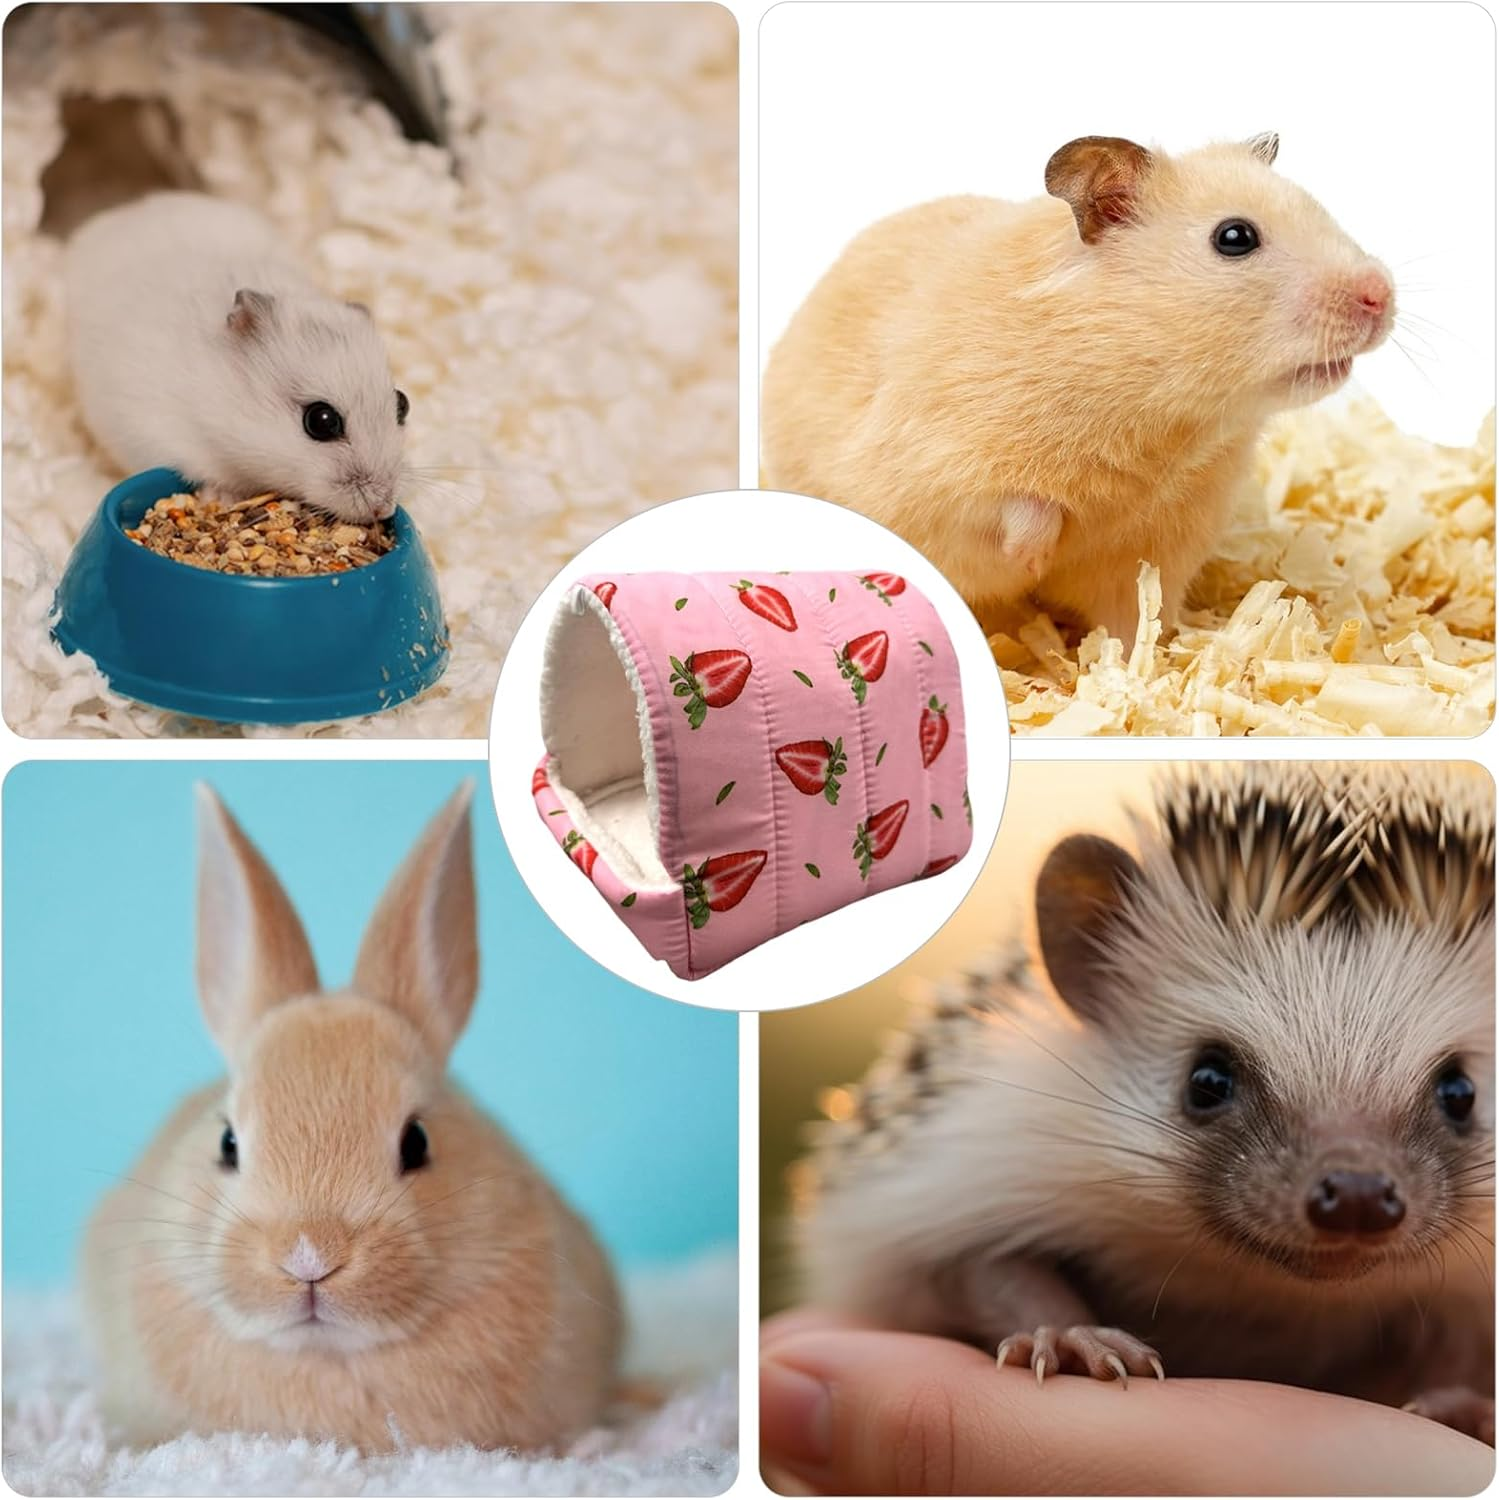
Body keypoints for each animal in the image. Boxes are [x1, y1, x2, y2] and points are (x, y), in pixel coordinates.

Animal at [65, 192, 409, 523]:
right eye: (321, 421)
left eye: (402, 403)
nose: (383, 509)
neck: (225, 399)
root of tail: (124, 210)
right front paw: (222, 498)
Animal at [761, 136, 1395, 646]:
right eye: (1234, 237)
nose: (1381, 295)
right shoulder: (942, 468)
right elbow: (1023, 508)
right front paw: (1032, 560)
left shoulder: (1151, 550)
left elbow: (1135, 621)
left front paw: (1148, 663)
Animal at [794, 763, 1494, 1443]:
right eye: (1207, 1079)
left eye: (1460, 1092)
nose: (1356, 1197)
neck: (1267, 1294)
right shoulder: (965, 1158)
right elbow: (981, 1268)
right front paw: (1072, 1339)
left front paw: (1464, 1404)